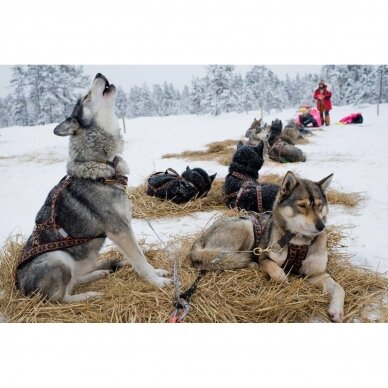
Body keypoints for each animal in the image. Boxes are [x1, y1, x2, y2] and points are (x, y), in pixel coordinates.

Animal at [15, 73, 170, 304]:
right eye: (86, 96)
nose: (99, 74)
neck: (104, 163)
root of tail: (19, 287)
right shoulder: (120, 230)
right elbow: (140, 260)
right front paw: (156, 281)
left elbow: (141, 256)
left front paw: (157, 272)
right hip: (57, 258)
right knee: (61, 299)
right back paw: (89, 295)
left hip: (82, 260)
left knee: (76, 280)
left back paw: (99, 274)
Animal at [189, 171, 344, 322]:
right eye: (302, 206)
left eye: (319, 205)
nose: (321, 226)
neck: (298, 243)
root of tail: (203, 236)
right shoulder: (265, 258)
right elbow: (278, 273)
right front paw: (283, 278)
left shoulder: (317, 274)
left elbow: (339, 288)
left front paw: (337, 310)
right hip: (245, 226)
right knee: (219, 259)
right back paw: (250, 263)